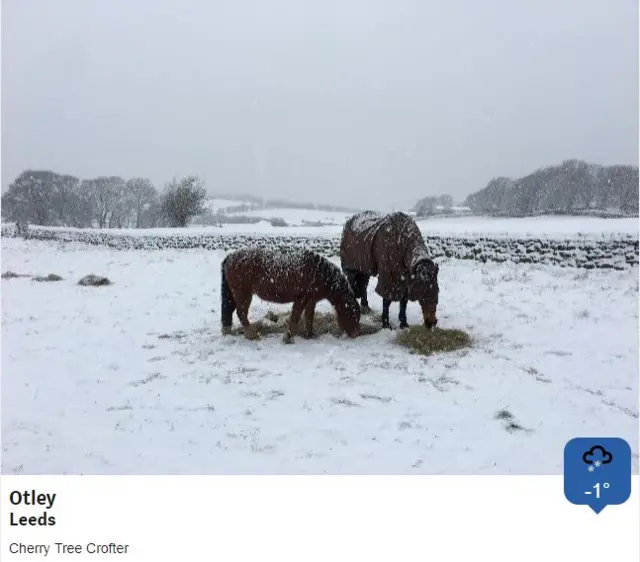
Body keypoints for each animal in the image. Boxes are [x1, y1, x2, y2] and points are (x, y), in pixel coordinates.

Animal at [219, 246, 360, 342]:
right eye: (352, 313)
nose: (357, 334)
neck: (319, 273)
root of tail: (230, 257)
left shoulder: (311, 300)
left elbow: (309, 317)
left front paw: (309, 335)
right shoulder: (302, 298)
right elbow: (295, 317)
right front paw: (288, 338)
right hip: (243, 294)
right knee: (241, 313)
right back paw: (252, 335)